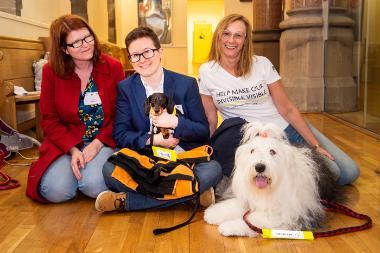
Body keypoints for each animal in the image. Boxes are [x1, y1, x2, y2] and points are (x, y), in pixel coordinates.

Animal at [203, 121, 336, 236]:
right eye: (252, 151)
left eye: (272, 151)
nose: (259, 167)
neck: (267, 190)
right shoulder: (248, 198)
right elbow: (235, 204)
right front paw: (213, 213)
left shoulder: (289, 211)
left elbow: (254, 219)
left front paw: (228, 226)